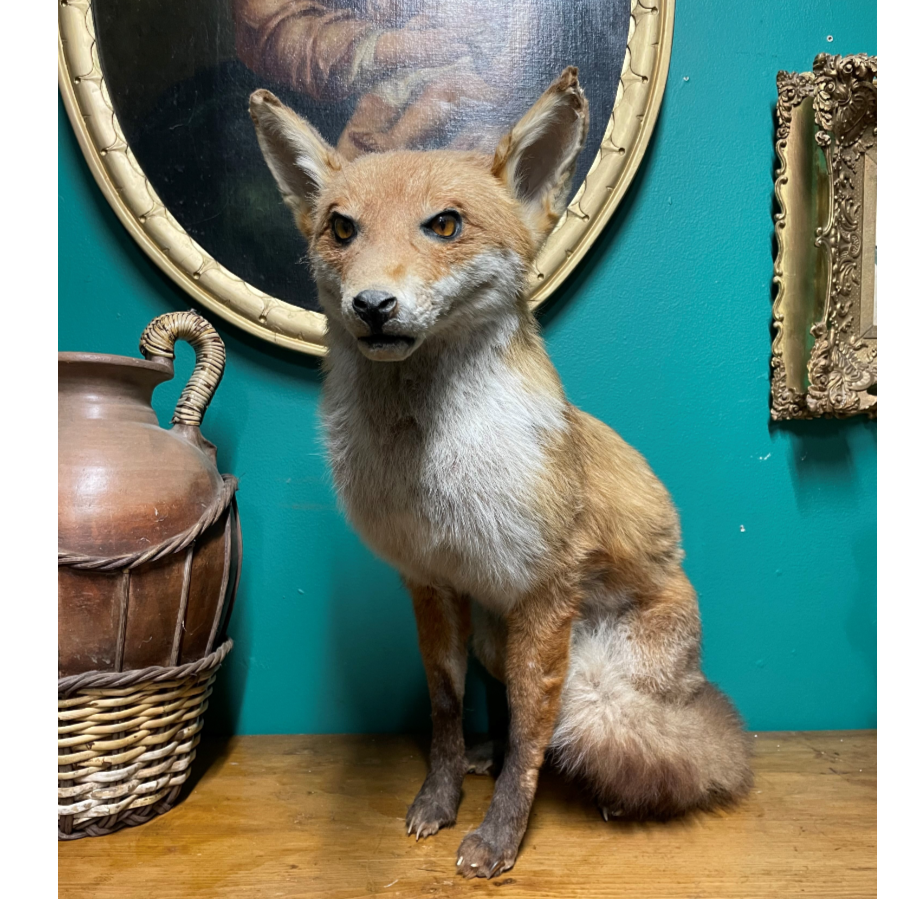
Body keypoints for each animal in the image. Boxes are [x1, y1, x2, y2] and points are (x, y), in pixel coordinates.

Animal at [249, 68, 753, 880]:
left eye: (445, 225)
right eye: (342, 229)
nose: (371, 305)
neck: (431, 475)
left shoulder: (546, 594)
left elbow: (530, 736)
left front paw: (499, 837)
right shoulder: (433, 584)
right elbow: (449, 708)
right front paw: (440, 795)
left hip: (594, 689)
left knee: (642, 745)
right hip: (497, 635)